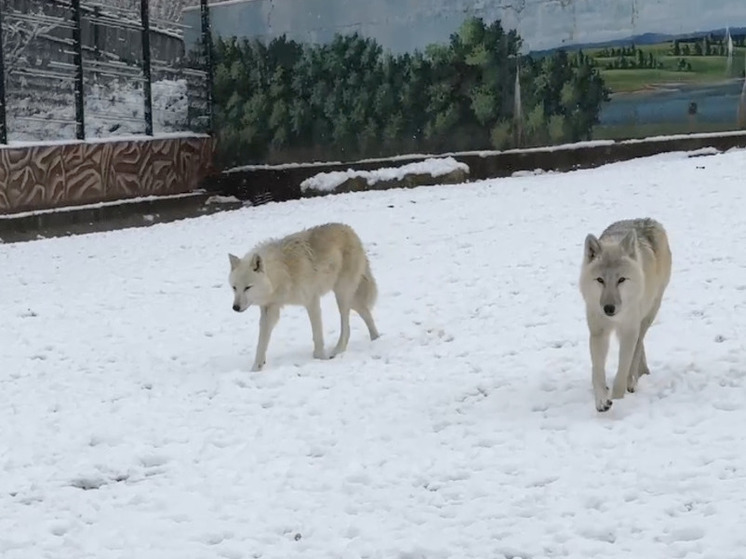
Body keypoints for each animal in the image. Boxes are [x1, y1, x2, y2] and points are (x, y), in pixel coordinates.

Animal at [227, 223, 378, 372]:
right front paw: (256, 368)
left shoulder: (312, 301)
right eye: (234, 288)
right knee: (366, 312)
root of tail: (350, 230)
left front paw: (320, 357)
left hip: (342, 295)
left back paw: (338, 350)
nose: (235, 307)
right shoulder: (269, 309)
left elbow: (317, 334)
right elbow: (261, 342)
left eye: (248, 287)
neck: (282, 272)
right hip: (351, 299)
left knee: (346, 327)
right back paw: (375, 338)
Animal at [580, 218, 672, 412]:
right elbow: (597, 371)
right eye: (600, 280)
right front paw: (602, 401)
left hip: (648, 316)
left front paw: (618, 398)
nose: (608, 308)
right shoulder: (598, 332)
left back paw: (633, 380)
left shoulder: (629, 331)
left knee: (638, 347)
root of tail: (648, 220)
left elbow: (622, 369)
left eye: (621, 280)